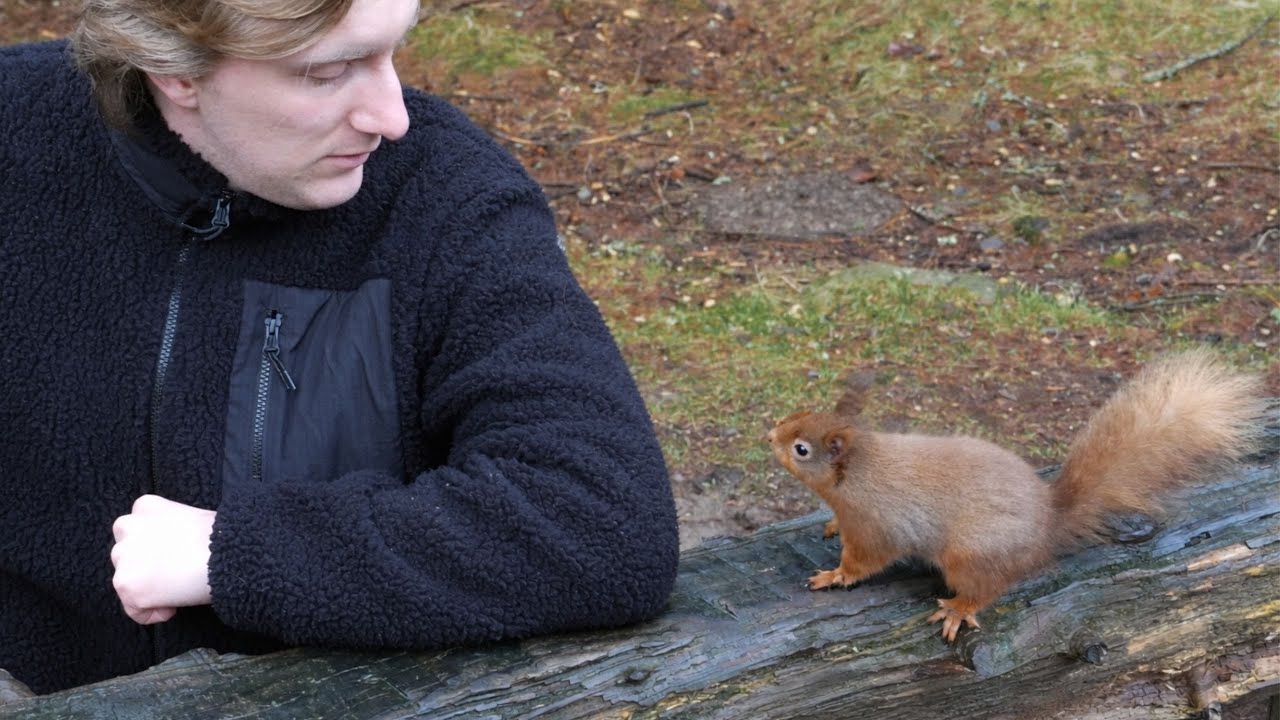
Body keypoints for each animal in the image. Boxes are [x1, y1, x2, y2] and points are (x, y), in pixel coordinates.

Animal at [766, 349, 1265, 642]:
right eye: (799, 413)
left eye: (801, 449)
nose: (770, 434)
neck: (858, 472)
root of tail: (1048, 526)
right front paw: (831, 525)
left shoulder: (876, 526)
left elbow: (864, 562)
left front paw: (834, 576)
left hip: (970, 555)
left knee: (987, 588)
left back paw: (958, 609)